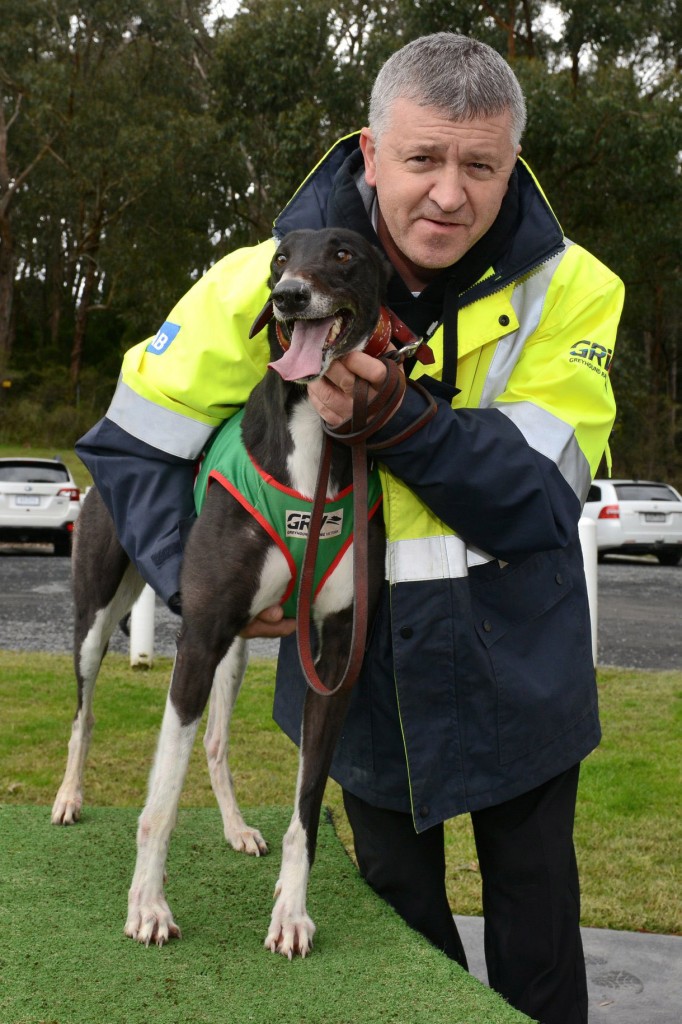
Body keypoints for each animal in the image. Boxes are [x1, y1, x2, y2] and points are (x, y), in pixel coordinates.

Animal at [54, 230, 403, 958]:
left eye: (344, 253)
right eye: (279, 258)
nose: (289, 297)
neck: (313, 448)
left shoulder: (334, 660)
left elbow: (306, 808)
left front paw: (291, 913)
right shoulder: (198, 637)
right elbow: (160, 801)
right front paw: (148, 909)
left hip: (238, 652)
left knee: (214, 743)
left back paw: (237, 828)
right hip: (98, 618)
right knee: (84, 711)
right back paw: (68, 798)